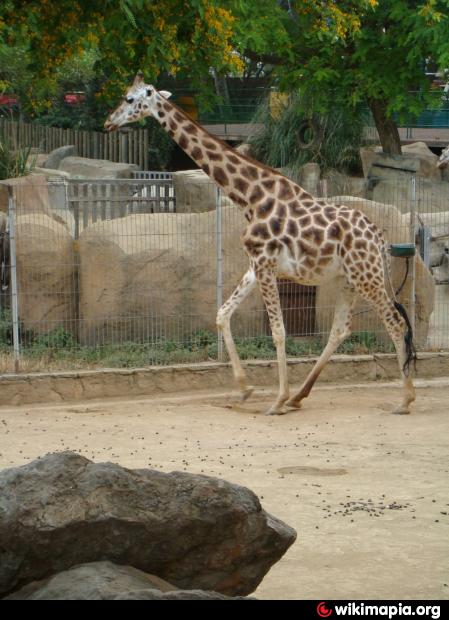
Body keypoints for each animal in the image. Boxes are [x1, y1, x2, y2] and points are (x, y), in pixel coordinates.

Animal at [105, 74, 416, 416]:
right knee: (340, 328)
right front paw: (245, 389)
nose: (108, 122)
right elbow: (222, 314)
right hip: (347, 279)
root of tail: (379, 237)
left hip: (367, 277)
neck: (251, 198)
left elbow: (278, 331)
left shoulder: (265, 264)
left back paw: (404, 399)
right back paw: (299, 396)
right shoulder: (256, 265)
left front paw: (276, 399)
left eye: (130, 98)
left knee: (395, 322)